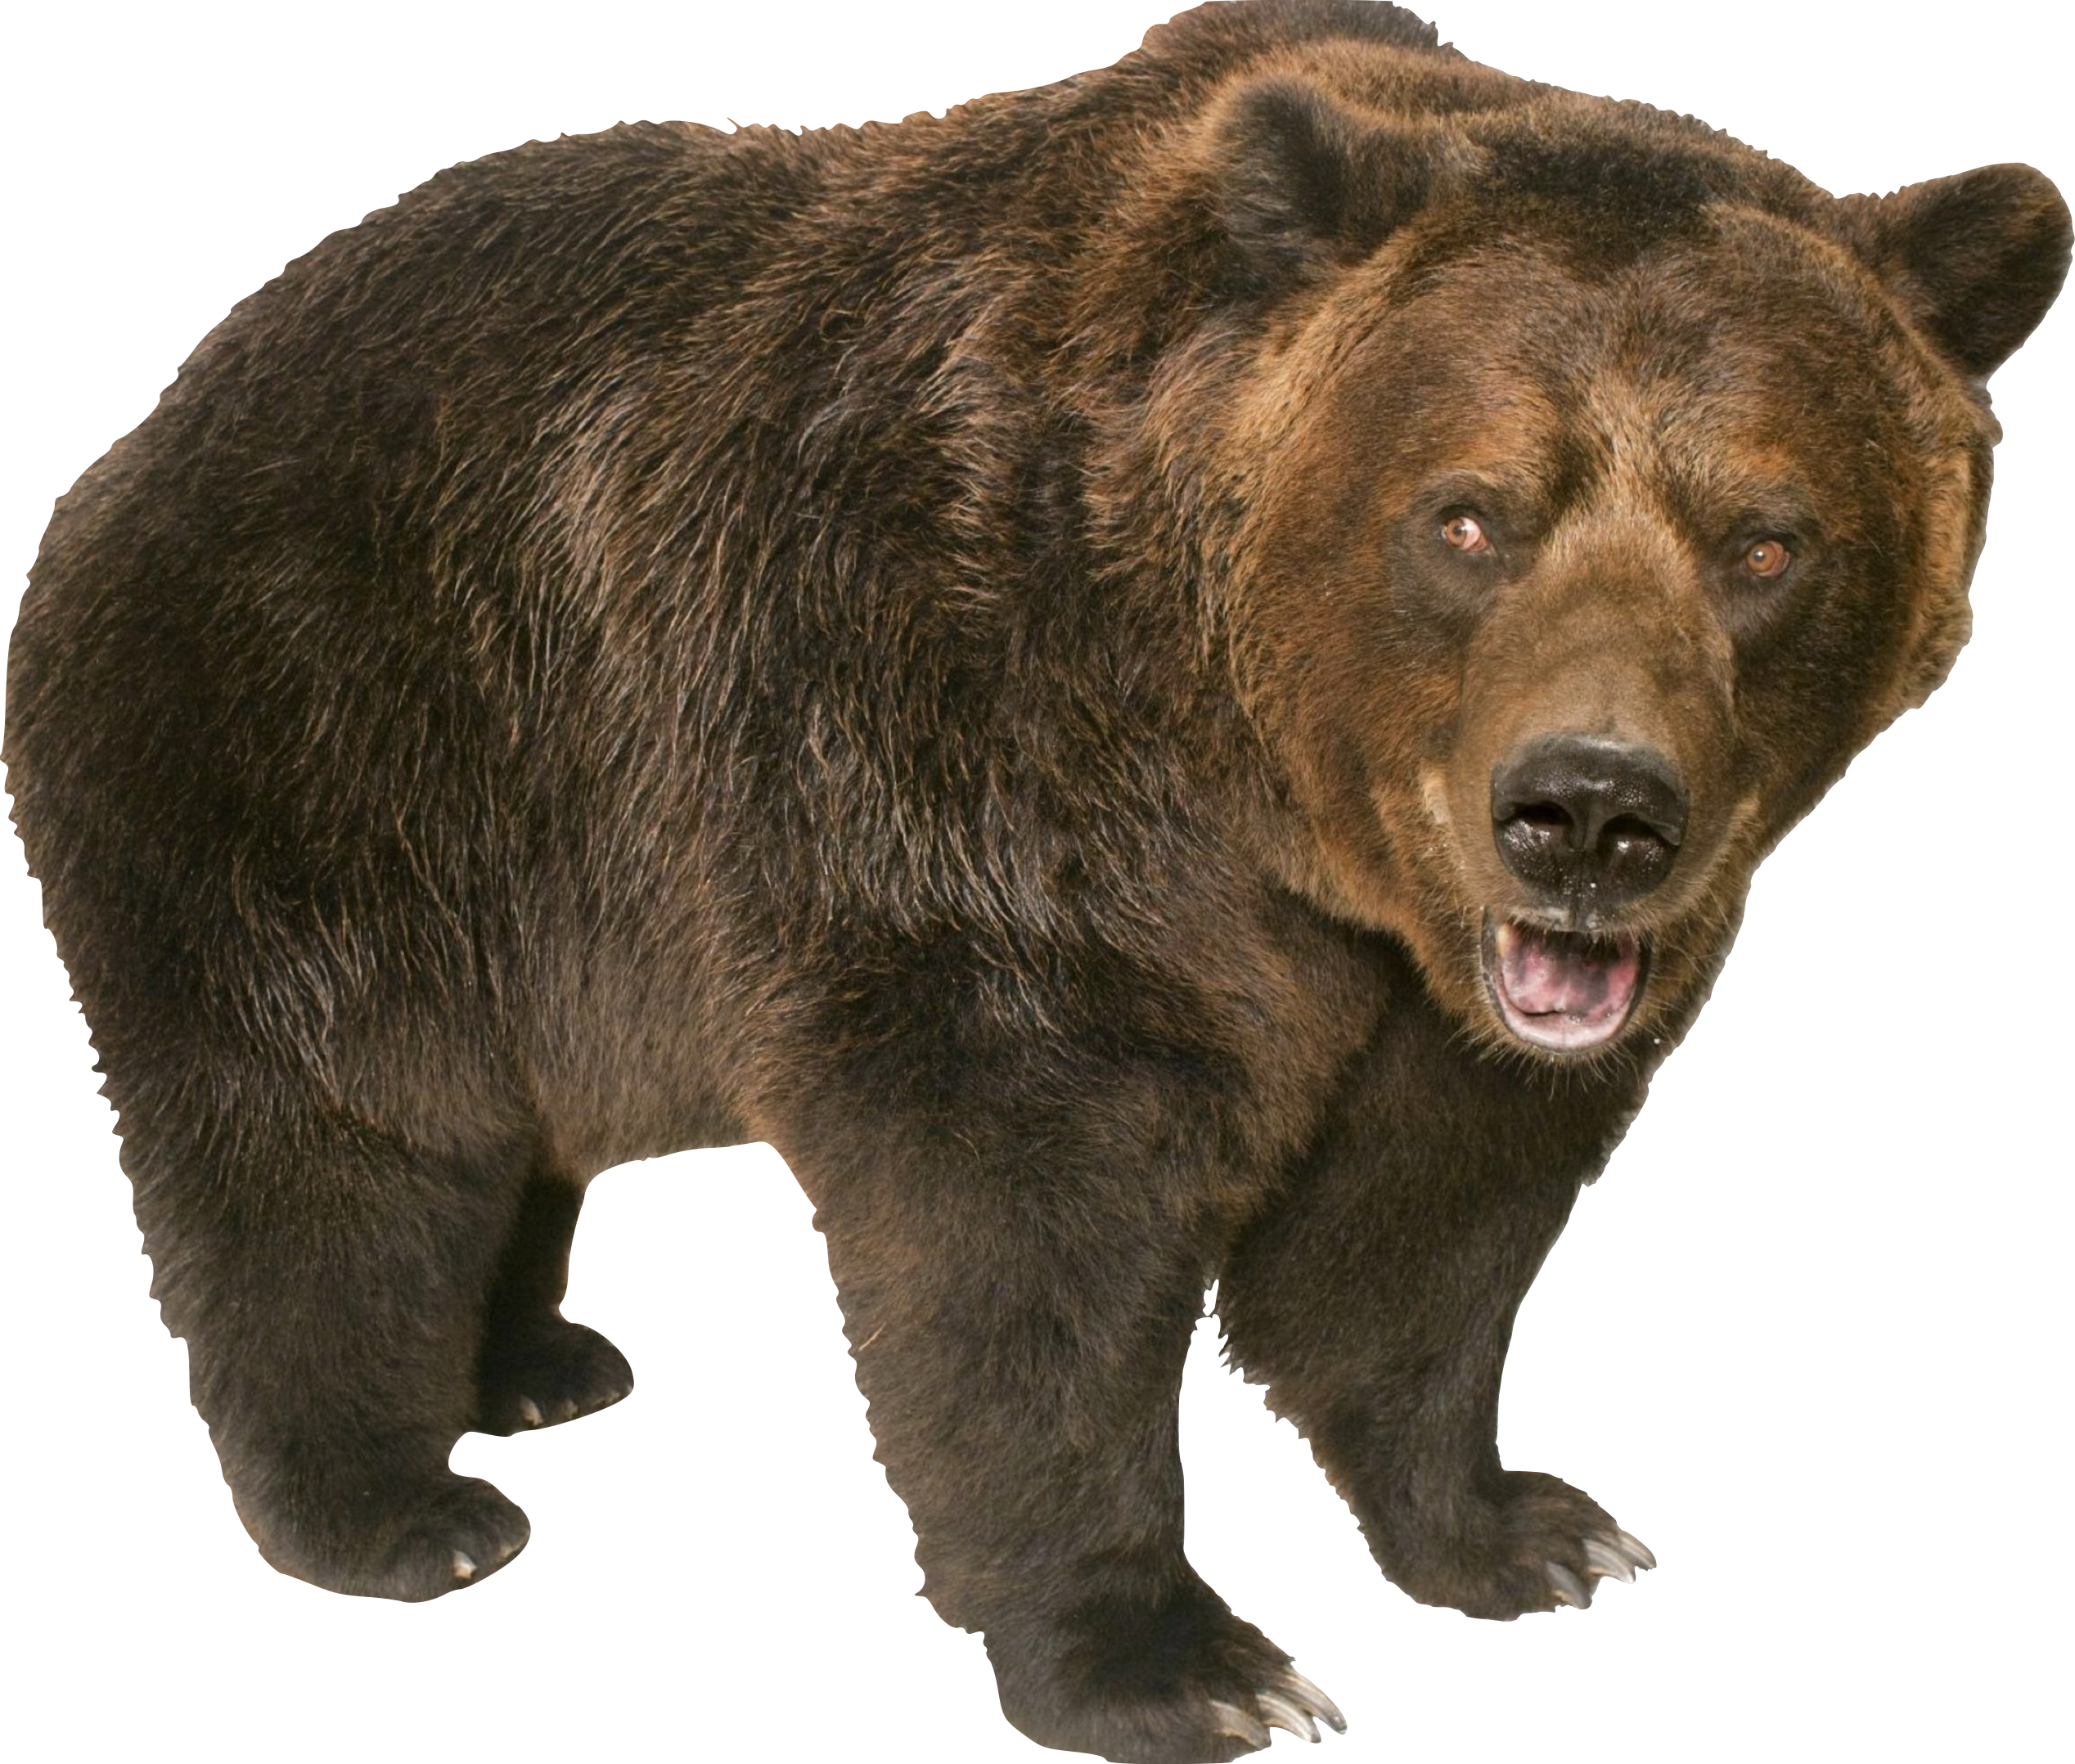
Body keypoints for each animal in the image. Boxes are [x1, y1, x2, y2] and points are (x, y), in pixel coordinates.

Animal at [5, 0, 2066, 1757]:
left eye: (1766, 541)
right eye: (1471, 514)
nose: (1584, 812)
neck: (1268, 795)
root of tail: (151, 424)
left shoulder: (1441, 989)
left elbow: (1424, 1223)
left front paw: (1522, 1526)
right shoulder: (966, 761)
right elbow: (1030, 1232)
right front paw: (1184, 1663)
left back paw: (534, 1362)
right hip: (338, 753)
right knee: (336, 1146)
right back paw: (398, 1502)